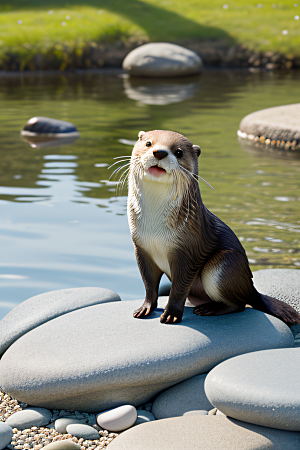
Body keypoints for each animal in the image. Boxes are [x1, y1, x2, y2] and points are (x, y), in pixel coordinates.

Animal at [126, 128, 300, 326]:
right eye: (148, 143)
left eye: (178, 152)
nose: (160, 152)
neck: (154, 229)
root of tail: (251, 288)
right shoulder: (142, 248)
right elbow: (149, 285)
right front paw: (145, 308)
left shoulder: (188, 250)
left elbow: (179, 288)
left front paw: (171, 314)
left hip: (224, 264)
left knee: (240, 304)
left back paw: (209, 309)